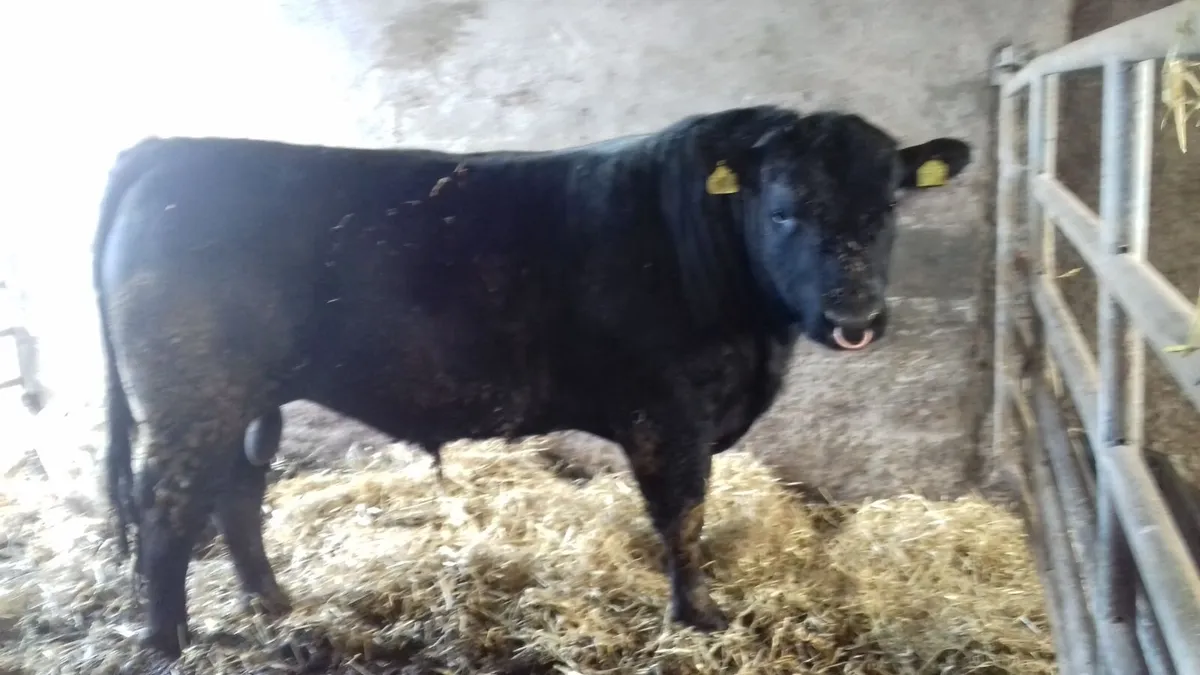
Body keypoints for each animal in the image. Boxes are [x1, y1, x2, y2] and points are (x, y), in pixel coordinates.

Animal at [95, 105, 971, 658]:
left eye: (888, 208)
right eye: (785, 209)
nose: (855, 313)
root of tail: (165, 147)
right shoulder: (670, 413)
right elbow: (683, 517)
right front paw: (700, 617)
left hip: (250, 397)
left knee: (236, 493)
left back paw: (272, 604)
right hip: (190, 394)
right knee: (168, 507)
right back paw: (169, 644)